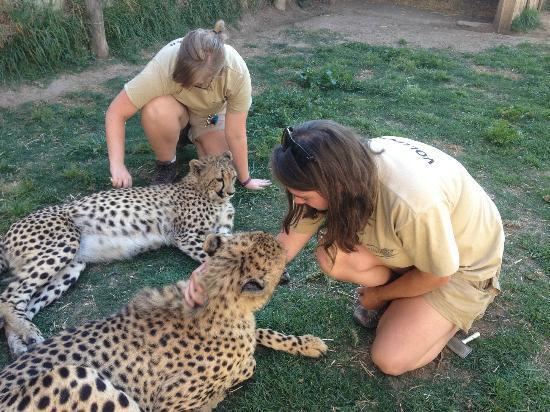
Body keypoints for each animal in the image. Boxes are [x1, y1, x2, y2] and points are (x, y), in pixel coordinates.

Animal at [0, 151, 237, 358]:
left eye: (233, 176)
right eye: (219, 178)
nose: (232, 192)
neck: (202, 190)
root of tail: (8, 232)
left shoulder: (222, 233)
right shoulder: (185, 236)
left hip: (71, 267)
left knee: (23, 303)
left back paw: (22, 344)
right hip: (62, 244)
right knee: (9, 296)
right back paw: (28, 334)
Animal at [0, 232, 328, 412]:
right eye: (279, 254)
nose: (285, 243)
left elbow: (260, 331)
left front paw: (305, 343)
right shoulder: (169, 403)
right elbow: (249, 363)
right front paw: (221, 390)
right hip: (76, 375)